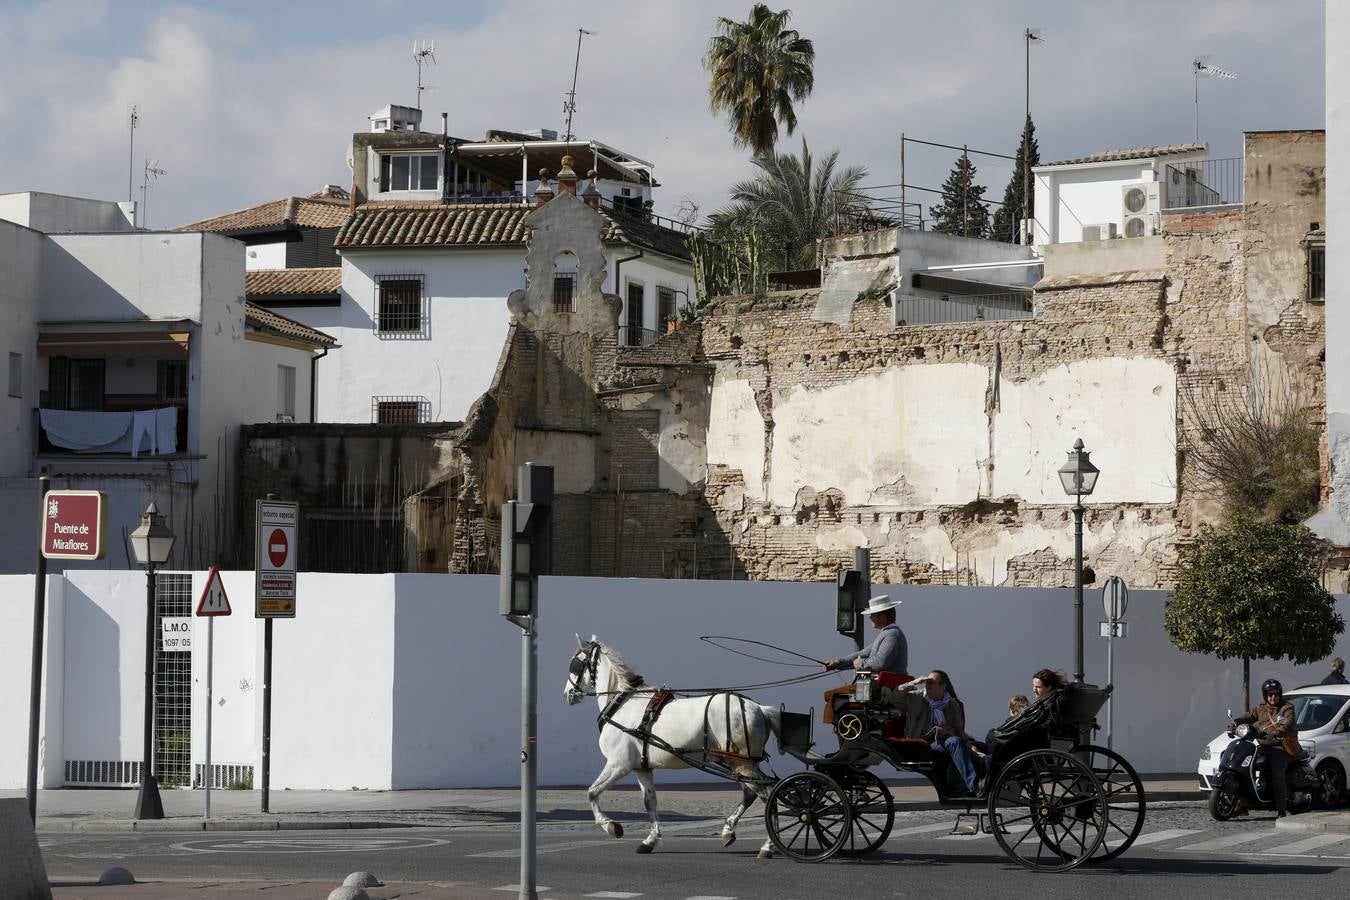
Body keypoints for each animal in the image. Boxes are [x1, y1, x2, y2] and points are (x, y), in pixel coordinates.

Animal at [561, 636, 783, 858]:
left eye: (575, 664)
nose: (567, 694)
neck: (623, 704)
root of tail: (759, 708)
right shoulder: (642, 767)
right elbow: (649, 802)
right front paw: (649, 840)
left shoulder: (618, 764)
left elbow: (592, 792)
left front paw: (611, 826)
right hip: (739, 763)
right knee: (751, 793)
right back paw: (729, 832)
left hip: (740, 762)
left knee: (767, 794)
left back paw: (767, 846)